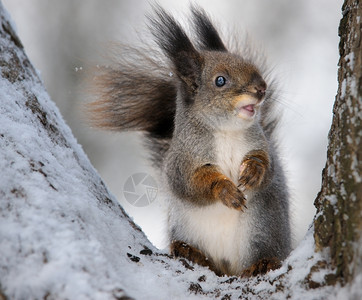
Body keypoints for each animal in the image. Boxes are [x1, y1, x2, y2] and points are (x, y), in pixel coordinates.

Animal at [87, 5, 292, 276]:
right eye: (220, 80)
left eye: (250, 64)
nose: (261, 88)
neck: (225, 131)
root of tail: (229, 267)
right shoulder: (182, 159)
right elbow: (192, 182)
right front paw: (225, 190)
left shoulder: (260, 144)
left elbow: (266, 166)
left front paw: (253, 171)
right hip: (188, 227)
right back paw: (190, 252)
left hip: (263, 228)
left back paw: (263, 262)